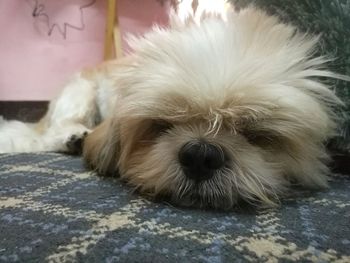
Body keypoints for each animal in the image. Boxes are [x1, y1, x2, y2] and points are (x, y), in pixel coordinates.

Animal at [0, 4, 348, 210]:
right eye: (161, 125)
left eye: (255, 133)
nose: (201, 154)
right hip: (80, 91)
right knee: (53, 132)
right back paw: (74, 136)